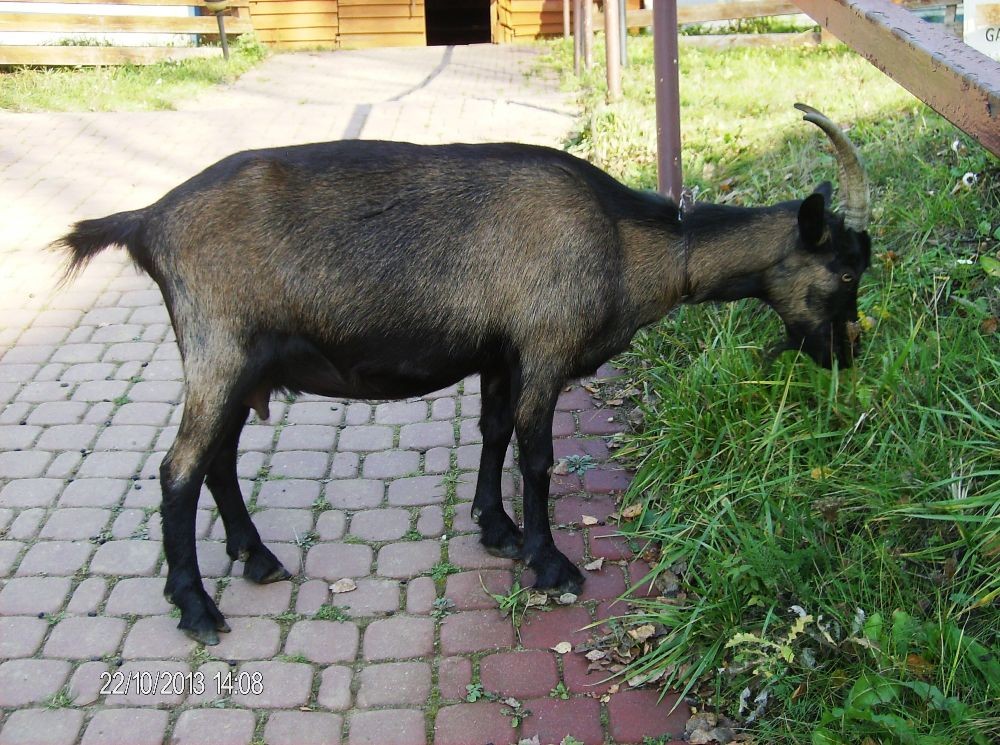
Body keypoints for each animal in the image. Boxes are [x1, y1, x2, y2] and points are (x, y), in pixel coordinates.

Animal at [54, 101, 872, 644]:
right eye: (843, 269)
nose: (846, 355)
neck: (625, 240)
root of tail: (146, 220)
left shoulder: (500, 352)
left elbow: (492, 432)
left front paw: (496, 528)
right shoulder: (544, 345)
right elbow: (536, 455)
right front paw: (550, 562)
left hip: (239, 365)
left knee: (216, 459)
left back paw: (256, 559)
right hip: (218, 350)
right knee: (179, 468)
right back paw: (197, 607)